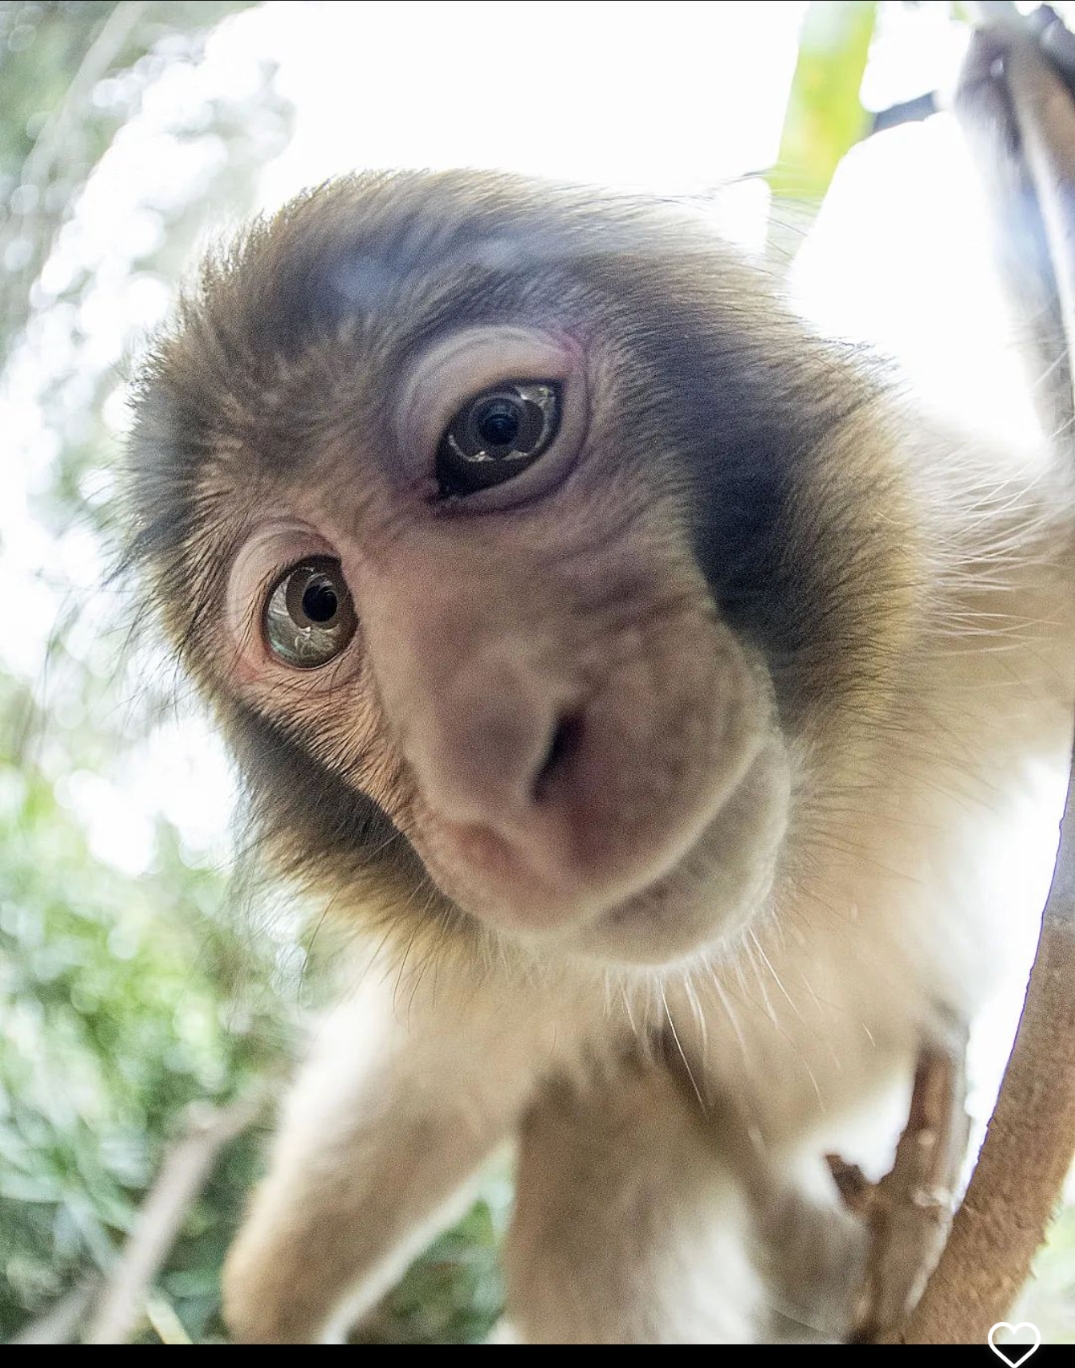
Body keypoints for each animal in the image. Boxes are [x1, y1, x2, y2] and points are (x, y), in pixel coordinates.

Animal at [122, 75, 1075, 1341]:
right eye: (313, 609)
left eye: (496, 432)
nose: (491, 766)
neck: (796, 860)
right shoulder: (499, 963)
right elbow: (402, 1123)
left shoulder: (991, 582)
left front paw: (1019, 97)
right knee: (616, 1109)